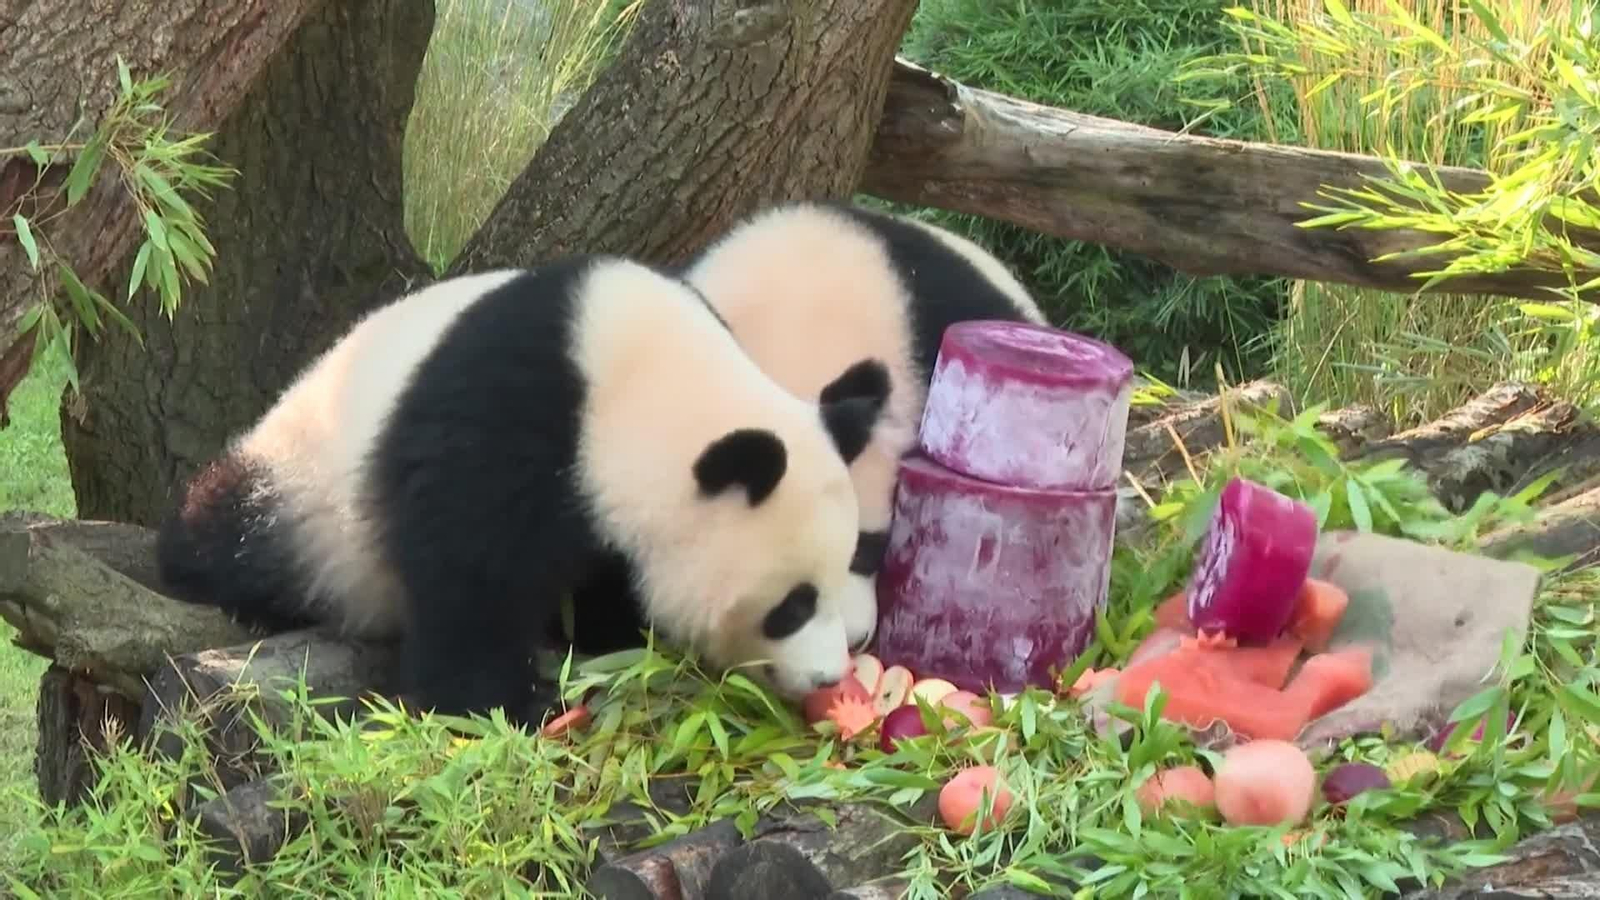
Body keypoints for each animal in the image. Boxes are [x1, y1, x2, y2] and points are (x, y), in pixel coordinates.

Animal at [154, 255, 892, 728]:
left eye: (852, 566)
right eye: (793, 606)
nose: (831, 676)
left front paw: (608, 633)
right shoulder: (507, 418)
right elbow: (469, 572)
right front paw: (504, 704)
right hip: (297, 484)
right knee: (233, 532)